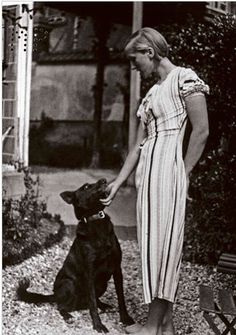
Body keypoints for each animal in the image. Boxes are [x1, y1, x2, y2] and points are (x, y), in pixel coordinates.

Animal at [17, 178, 133, 334]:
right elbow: (92, 304)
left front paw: (125, 318)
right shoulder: (89, 273)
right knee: (62, 306)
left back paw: (103, 305)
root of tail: (55, 294)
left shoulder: (117, 269)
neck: (95, 219)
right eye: (86, 187)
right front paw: (98, 325)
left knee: (91, 300)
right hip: (69, 284)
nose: (104, 180)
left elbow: (121, 298)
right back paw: (68, 316)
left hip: (102, 284)